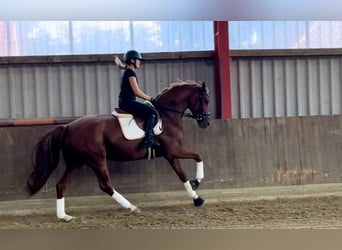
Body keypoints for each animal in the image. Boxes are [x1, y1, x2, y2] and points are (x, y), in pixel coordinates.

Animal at [26, 80, 210, 221]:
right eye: (206, 100)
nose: (206, 123)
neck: (167, 116)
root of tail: (67, 127)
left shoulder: (171, 155)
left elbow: (183, 174)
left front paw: (196, 197)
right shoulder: (174, 151)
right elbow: (198, 156)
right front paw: (197, 183)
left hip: (77, 162)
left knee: (61, 185)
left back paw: (64, 216)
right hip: (96, 159)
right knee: (105, 185)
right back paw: (132, 207)